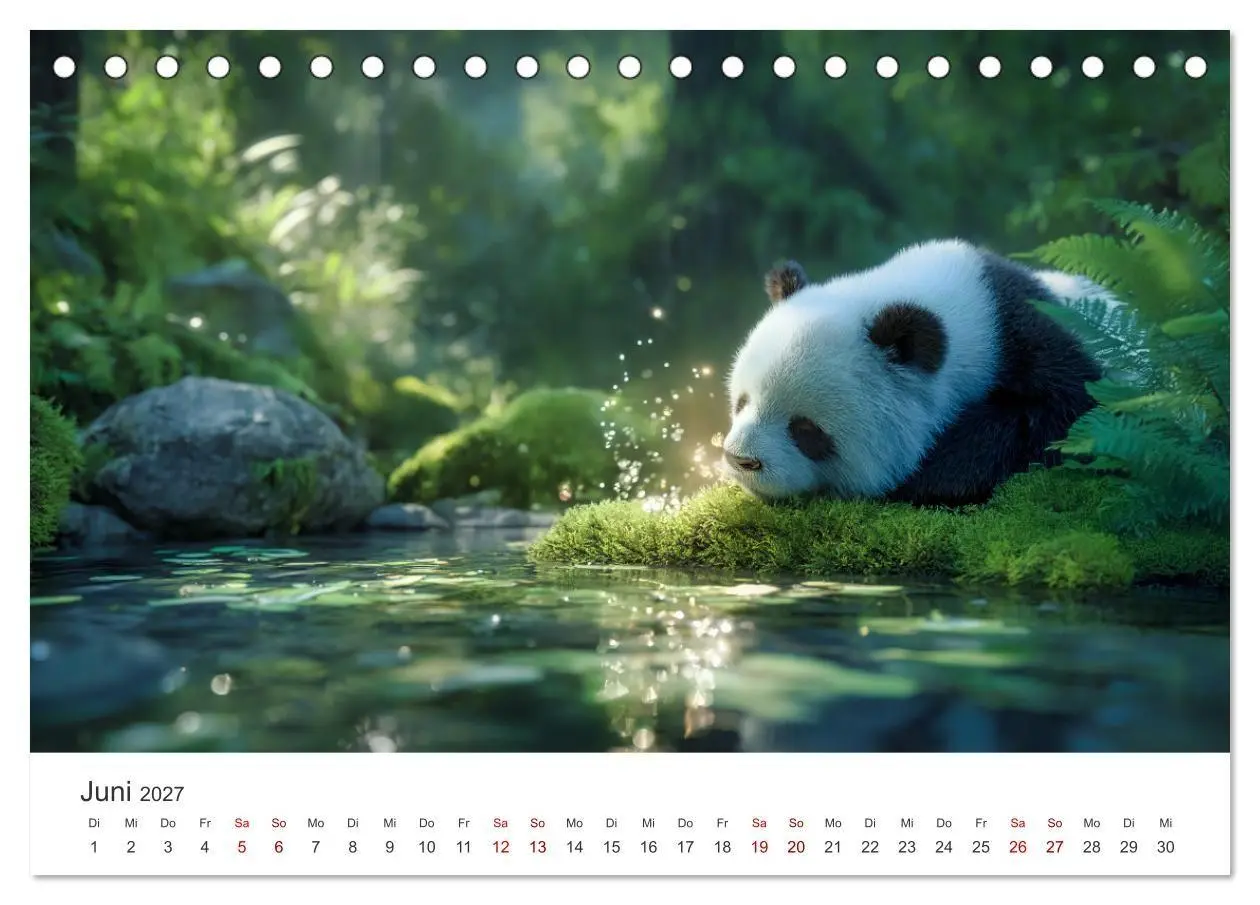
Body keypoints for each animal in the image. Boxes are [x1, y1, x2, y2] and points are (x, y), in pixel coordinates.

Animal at [721, 239, 1107, 507]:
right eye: (742, 402)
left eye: (806, 430)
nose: (741, 460)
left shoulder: (1037, 344)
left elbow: (1065, 417)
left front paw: (929, 476)